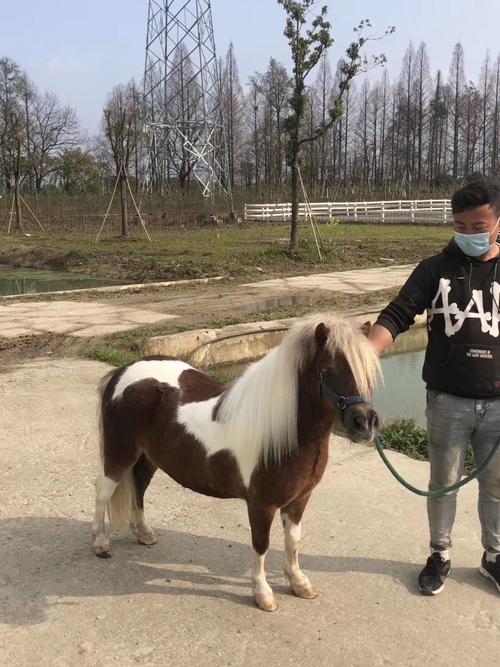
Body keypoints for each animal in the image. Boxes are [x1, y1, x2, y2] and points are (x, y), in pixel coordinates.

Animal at [92, 314, 381, 612]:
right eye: (327, 370)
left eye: (368, 371)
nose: (365, 423)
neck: (285, 433)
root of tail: (122, 372)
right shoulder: (262, 505)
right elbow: (261, 545)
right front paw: (263, 594)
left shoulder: (299, 500)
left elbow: (293, 541)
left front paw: (299, 583)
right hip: (119, 454)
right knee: (102, 492)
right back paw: (101, 543)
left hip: (149, 459)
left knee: (138, 488)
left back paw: (144, 533)